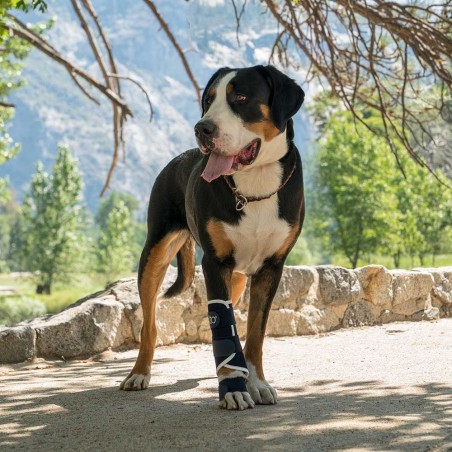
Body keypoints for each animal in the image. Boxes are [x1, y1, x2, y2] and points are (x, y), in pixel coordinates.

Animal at [120, 65, 306, 412]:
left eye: (241, 97)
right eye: (208, 100)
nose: (202, 128)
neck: (255, 185)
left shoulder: (271, 268)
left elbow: (255, 333)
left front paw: (256, 382)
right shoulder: (214, 263)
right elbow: (223, 323)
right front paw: (233, 389)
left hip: (237, 279)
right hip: (155, 254)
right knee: (149, 324)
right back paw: (138, 373)